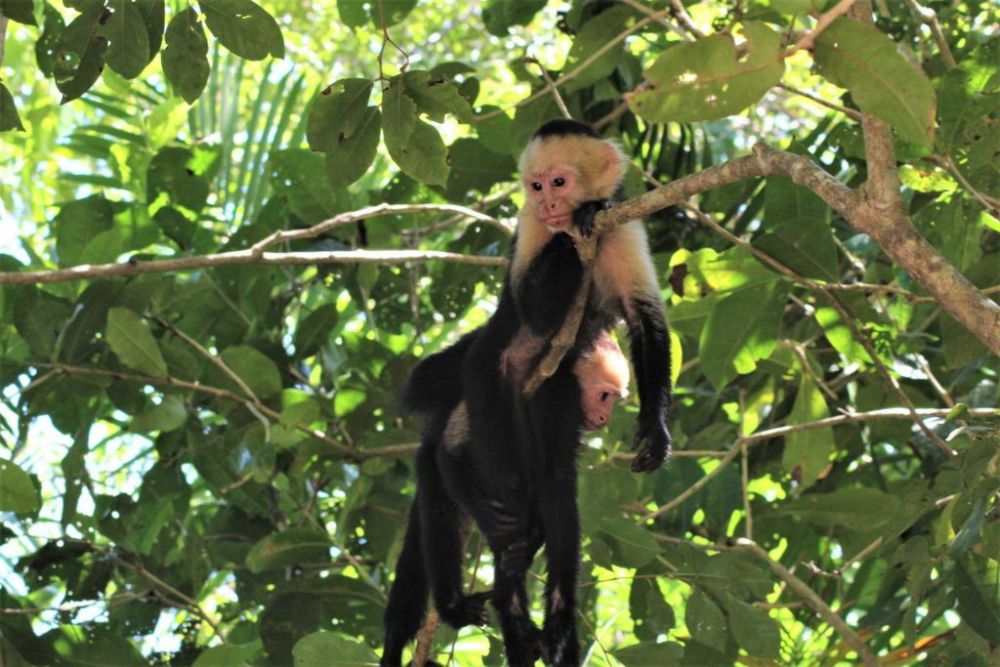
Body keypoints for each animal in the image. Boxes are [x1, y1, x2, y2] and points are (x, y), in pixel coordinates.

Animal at [382, 120, 672, 667]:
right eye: (535, 187)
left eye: (558, 181)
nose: (550, 203)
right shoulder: (531, 225)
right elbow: (533, 307)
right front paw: (579, 219)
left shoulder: (625, 227)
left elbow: (646, 320)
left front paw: (656, 428)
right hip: (483, 382)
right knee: (459, 465)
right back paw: (485, 583)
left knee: (553, 480)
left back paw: (551, 615)